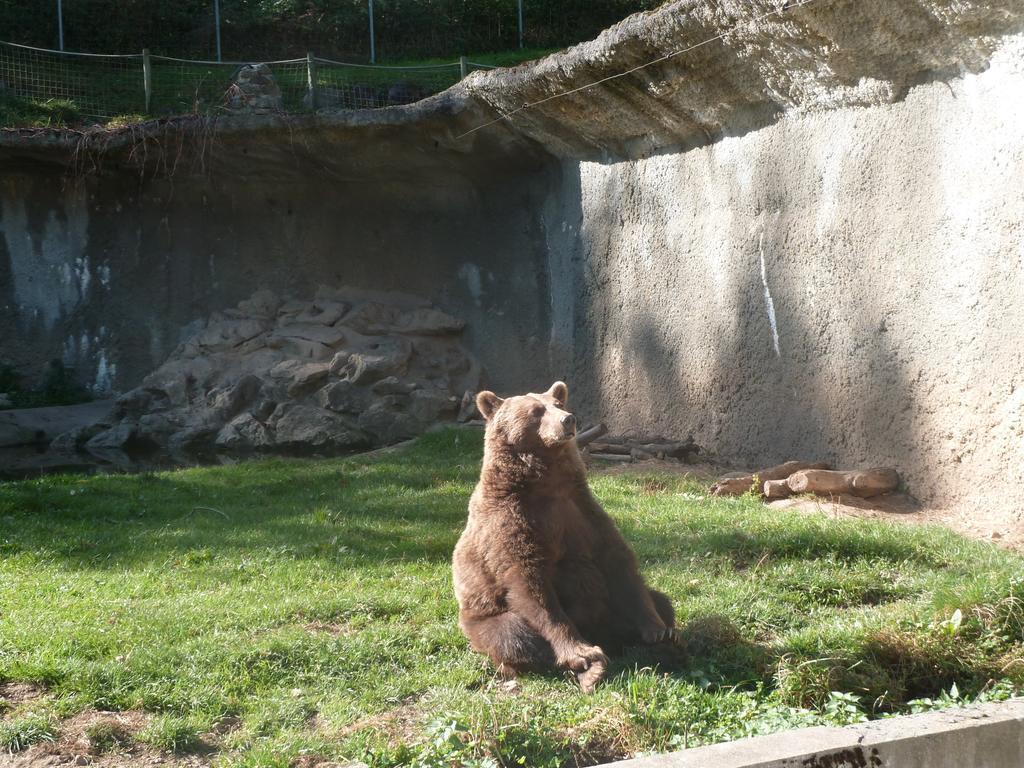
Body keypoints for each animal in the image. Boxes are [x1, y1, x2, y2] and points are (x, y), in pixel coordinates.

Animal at [452, 382, 675, 696]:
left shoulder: (581, 511)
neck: (546, 484)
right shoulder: (509, 521)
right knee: (514, 636)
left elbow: (618, 562)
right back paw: (587, 669)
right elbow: (529, 585)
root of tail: (602, 633)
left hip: (608, 609)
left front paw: (657, 629)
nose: (568, 419)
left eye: (558, 402)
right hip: (482, 617)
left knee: (661, 600)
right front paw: (581, 654)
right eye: (536, 411)